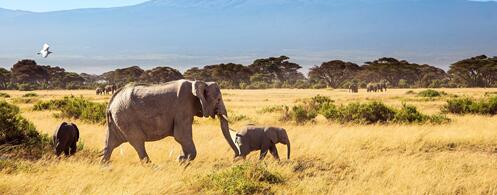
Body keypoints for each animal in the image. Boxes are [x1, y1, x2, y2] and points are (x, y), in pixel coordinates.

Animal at [101, 79, 238, 163]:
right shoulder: (183, 108)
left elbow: (182, 138)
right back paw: (154, 169)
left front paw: (182, 159)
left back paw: (105, 168)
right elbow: (181, 137)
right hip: (126, 119)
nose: (235, 158)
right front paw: (181, 160)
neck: (200, 82)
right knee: (138, 143)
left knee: (109, 145)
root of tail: (110, 104)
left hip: (116, 121)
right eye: (218, 99)